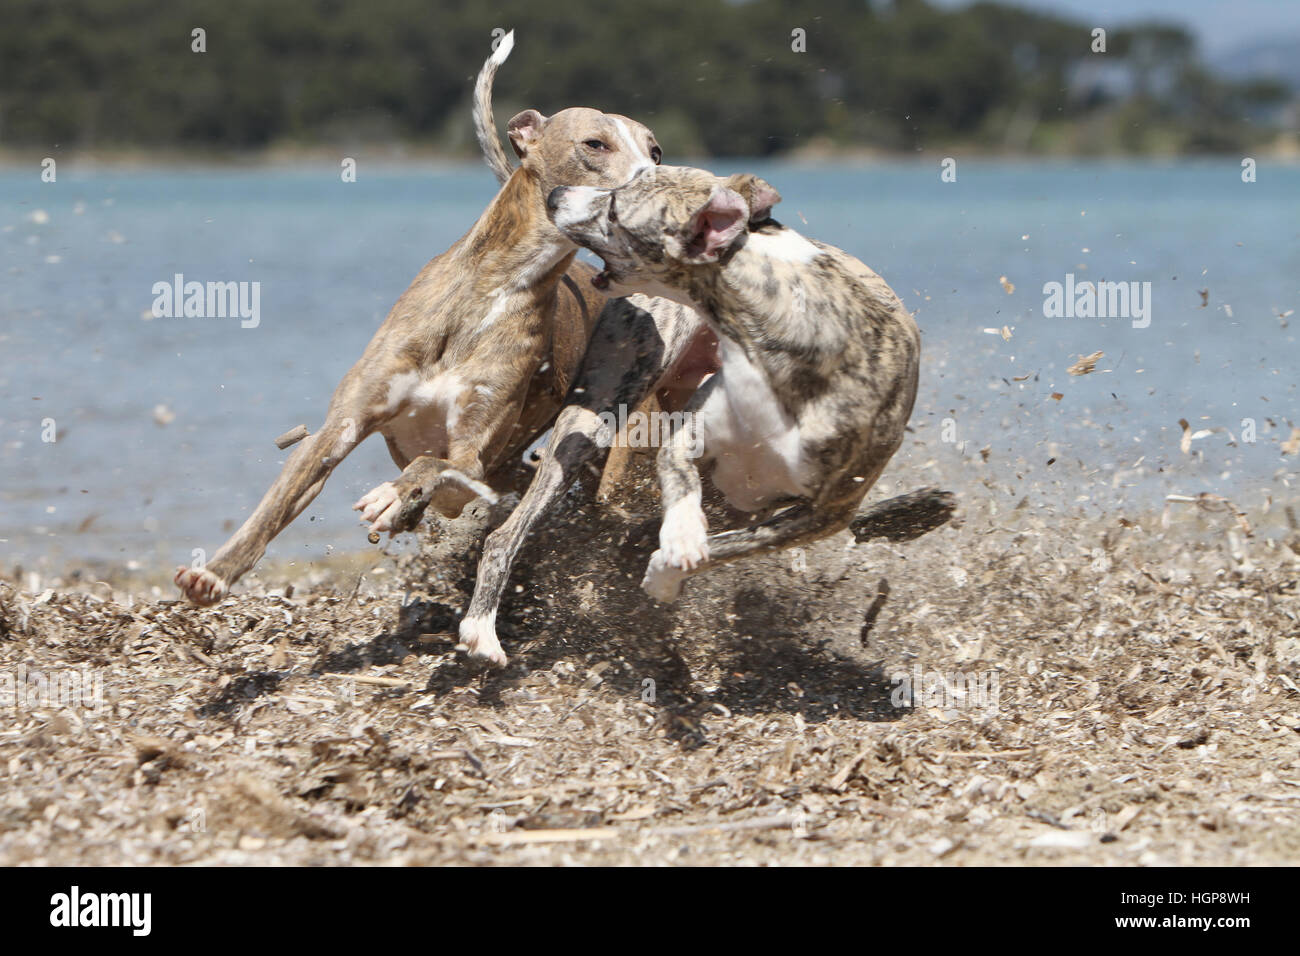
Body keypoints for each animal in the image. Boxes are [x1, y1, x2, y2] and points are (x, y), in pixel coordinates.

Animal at [178, 35, 702, 613]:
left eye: (655, 152)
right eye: (595, 144)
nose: (671, 187)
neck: (495, 287)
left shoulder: (472, 456)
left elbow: (435, 465)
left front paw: (395, 494)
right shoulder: (345, 423)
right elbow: (278, 502)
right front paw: (215, 572)